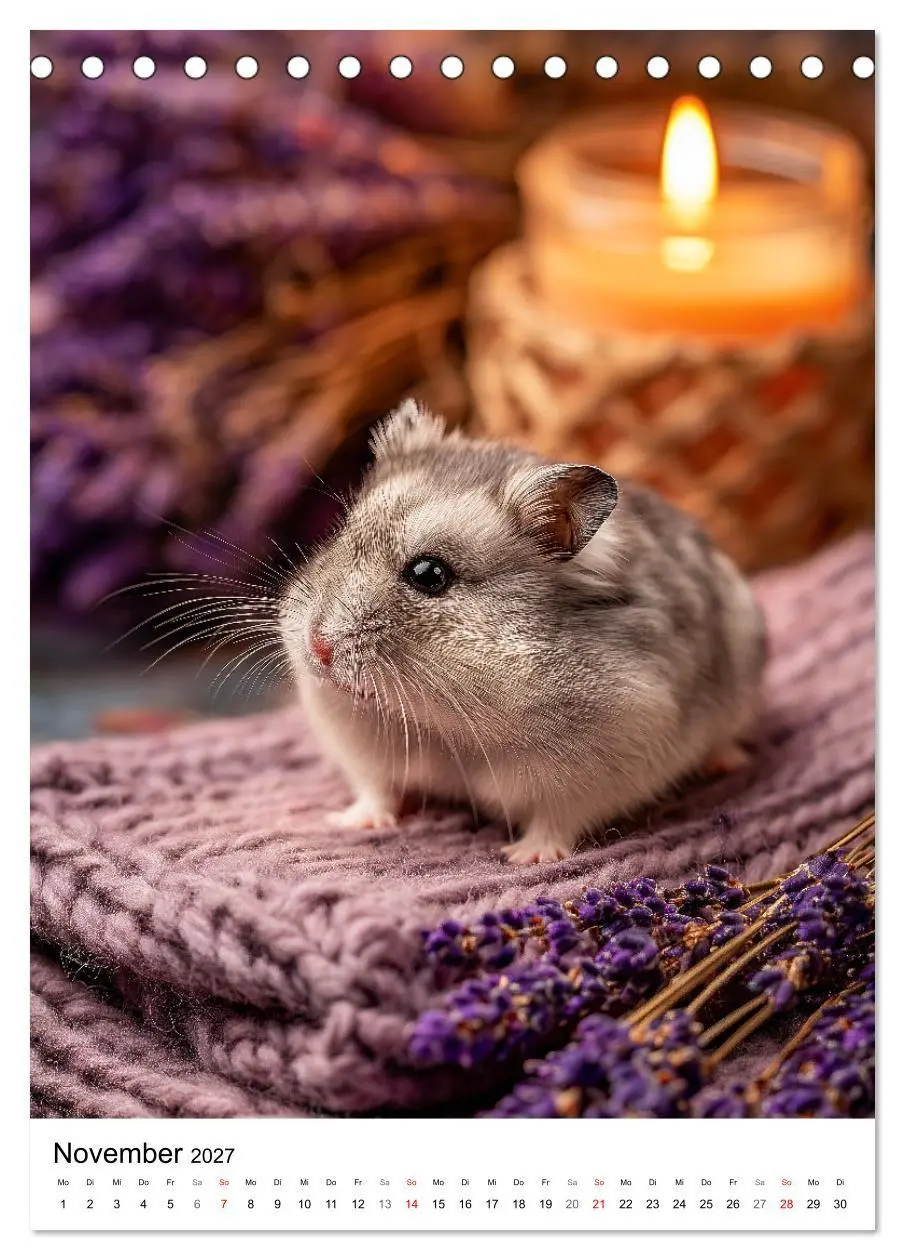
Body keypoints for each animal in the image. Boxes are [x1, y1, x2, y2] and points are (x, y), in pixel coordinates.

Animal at [279, 400, 766, 864]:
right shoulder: (361, 752)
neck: (440, 726)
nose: (317, 648)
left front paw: (523, 858)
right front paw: (350, 822)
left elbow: (555, 820)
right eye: (341, 535)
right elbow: (376, 789)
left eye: (429, 574)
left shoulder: (597, 769)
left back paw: (726, 762)